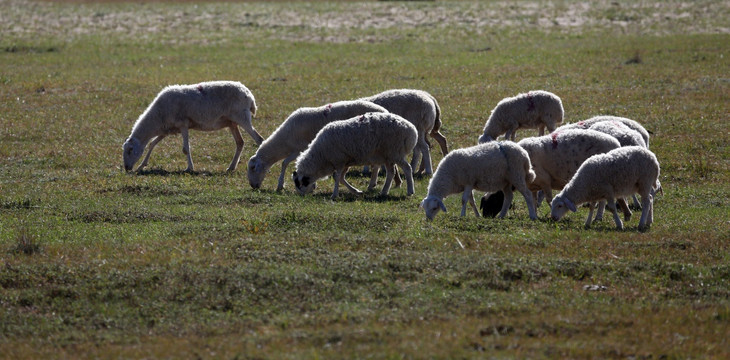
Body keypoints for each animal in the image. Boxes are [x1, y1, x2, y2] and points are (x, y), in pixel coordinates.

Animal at [123, 80, 262, 173]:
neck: (157, 116)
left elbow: (185, 148)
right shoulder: (167, 129)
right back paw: (231, 167)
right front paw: (141, 166)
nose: (126, 168)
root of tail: (249, 95)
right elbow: (152, 144)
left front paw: (189, 168)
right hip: (232, 123)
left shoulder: (183, 124)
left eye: (130, 150)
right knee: (240, 142)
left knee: (258, 139)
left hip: (242, 118)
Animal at [246, 100, 386, 191]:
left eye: (252, 168)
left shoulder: (300, 149)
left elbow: (284, 163)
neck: (285, 139)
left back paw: (373, 184)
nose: (253, 186)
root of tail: (384, 111)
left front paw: (280, 185)